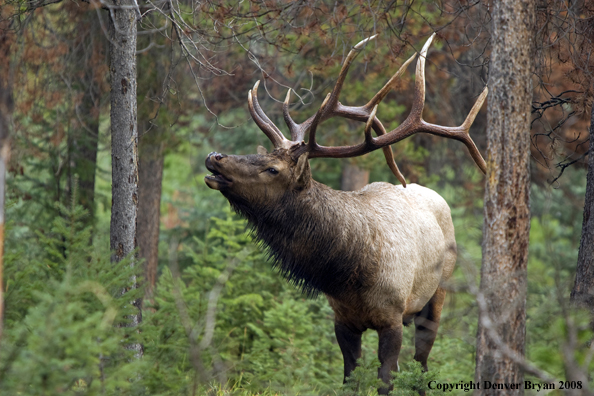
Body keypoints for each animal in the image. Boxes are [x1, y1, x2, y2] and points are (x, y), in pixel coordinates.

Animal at [204, 34, 486, 392]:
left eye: (272, 168)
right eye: (264, 155)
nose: (215, 156)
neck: (350, 274)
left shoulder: (392, 316)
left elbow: (386, 380)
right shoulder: (342, 319)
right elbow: (349, 378)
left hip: (437, 293)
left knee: (422, 365)